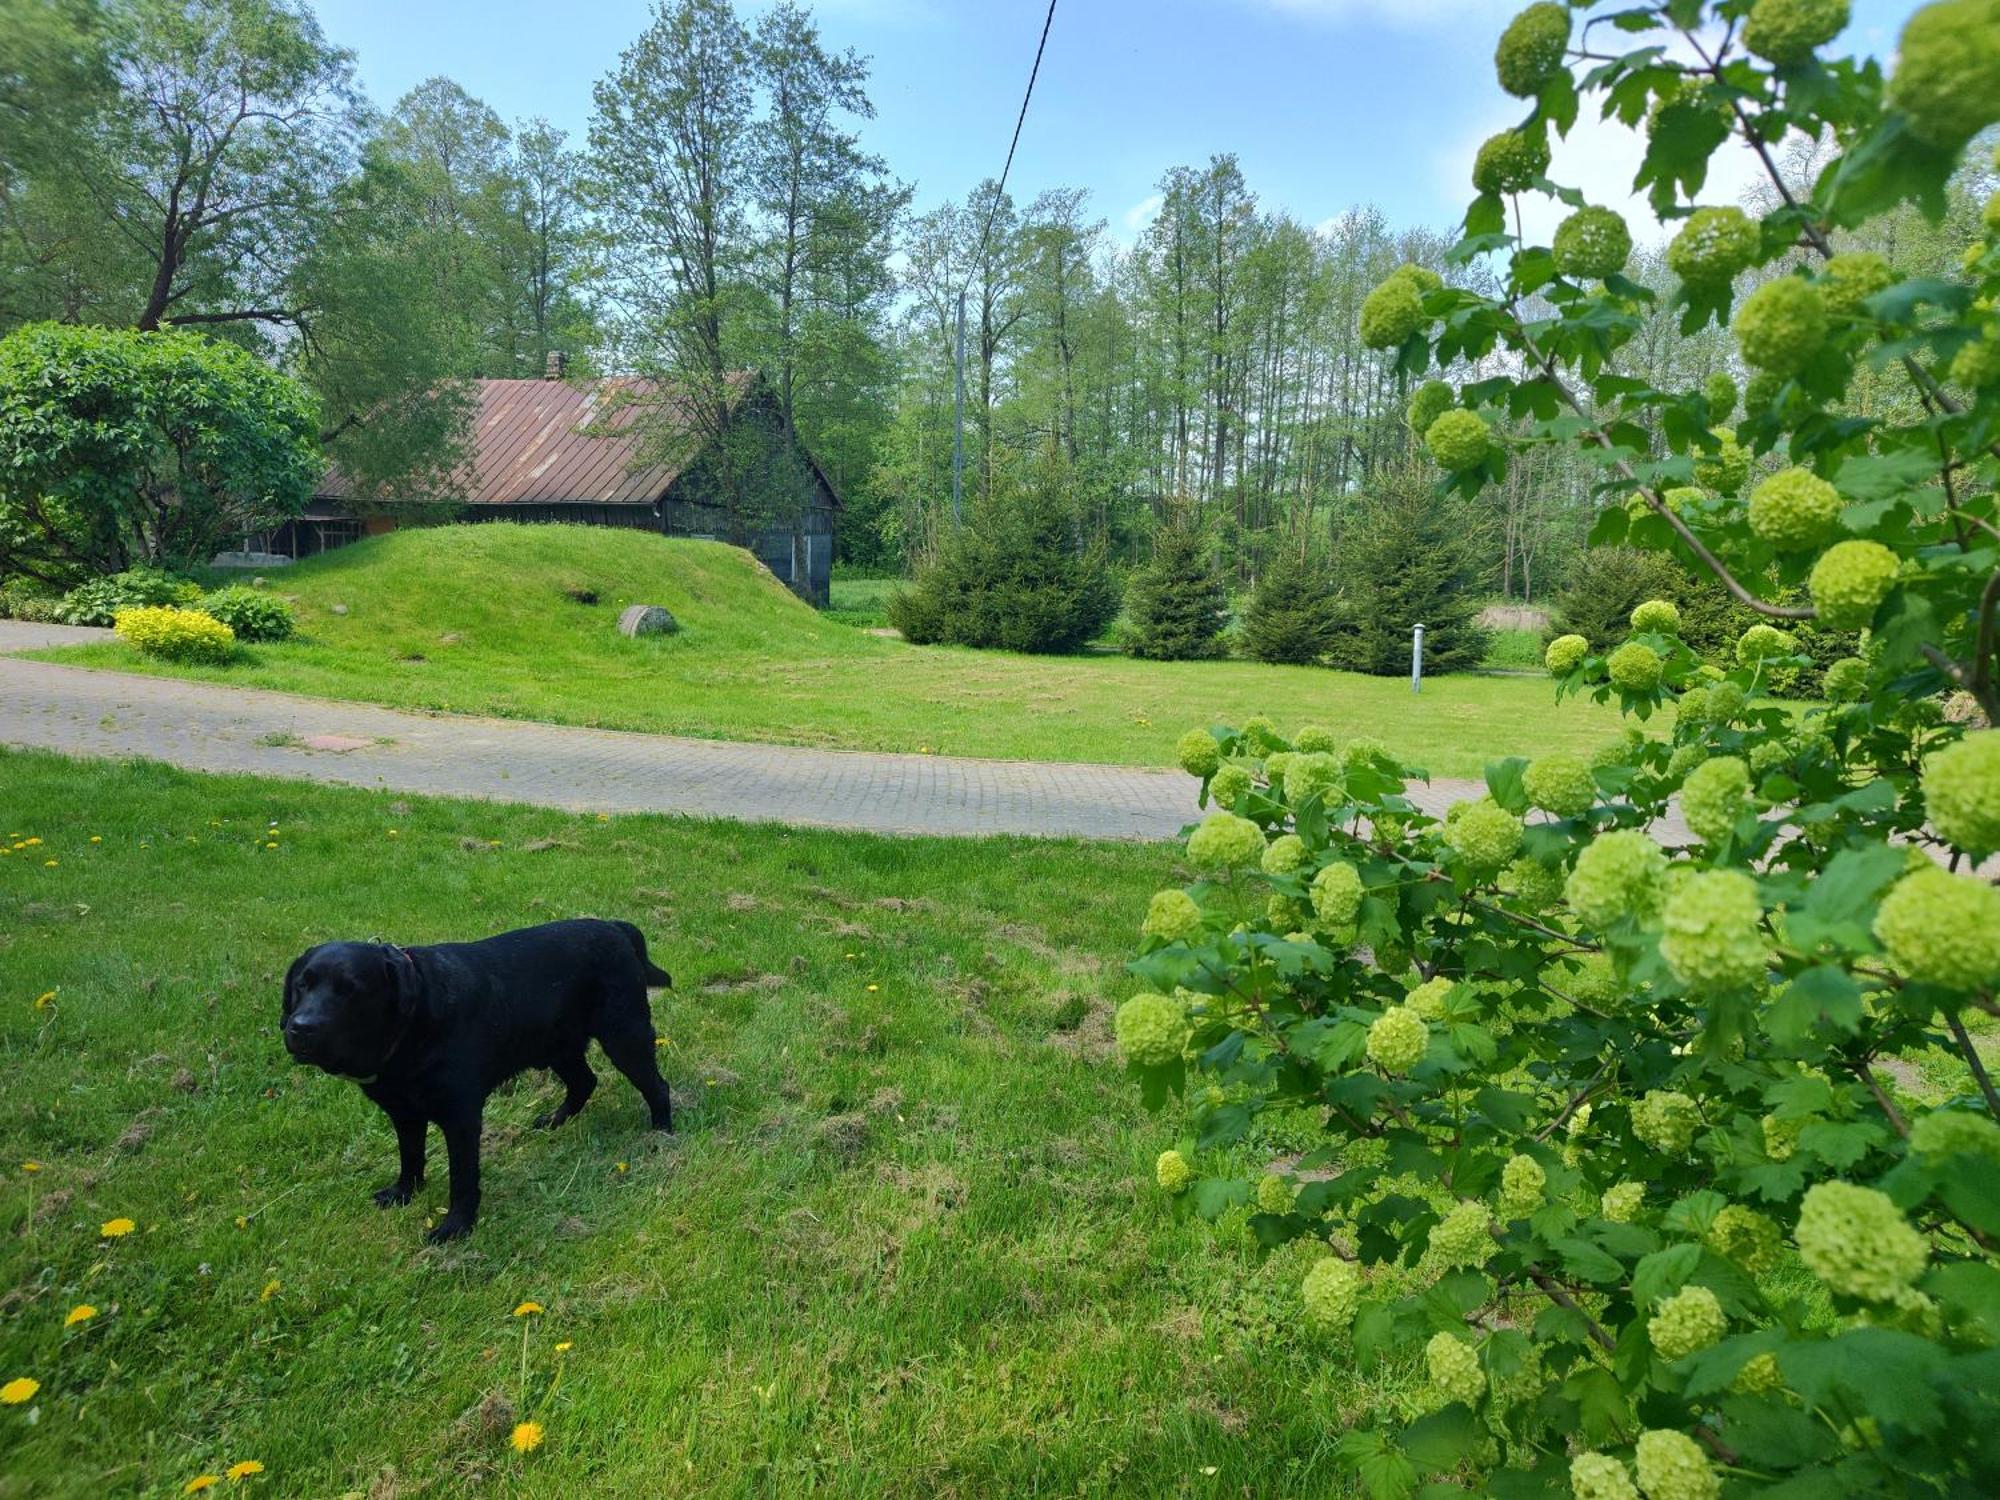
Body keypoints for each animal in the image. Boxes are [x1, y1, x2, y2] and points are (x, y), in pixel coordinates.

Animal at [282, 916, 676, 1248]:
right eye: (302, 985)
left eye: (351, 989)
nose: (301, 1028)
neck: (414, 1022)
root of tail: (614, 926)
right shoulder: (405, 1114)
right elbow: (410, 1157)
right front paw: (404, 1193)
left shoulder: (461, 1117)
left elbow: (462, 1178)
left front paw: (455, 1226)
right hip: (556, 1045)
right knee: (584, 1081)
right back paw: (555, 1120)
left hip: (625, 1036)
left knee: (657, 1087)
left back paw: (661, 1134)